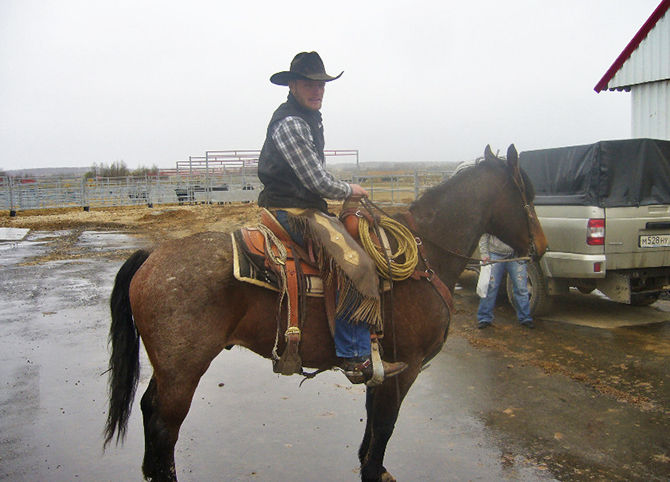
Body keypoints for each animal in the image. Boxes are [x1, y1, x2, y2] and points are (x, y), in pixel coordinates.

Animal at [103, 145, 544, 480]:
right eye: (528, 193)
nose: (539, 246)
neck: (425, 256)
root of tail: (152, 255)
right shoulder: (406, 366)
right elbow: (385, 425)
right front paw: (374, 471)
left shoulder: (381, 367)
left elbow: (372, 424)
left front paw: (370, 466)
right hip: (184, 371)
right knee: (164, 427)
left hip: (170, 370)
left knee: (149, 410)